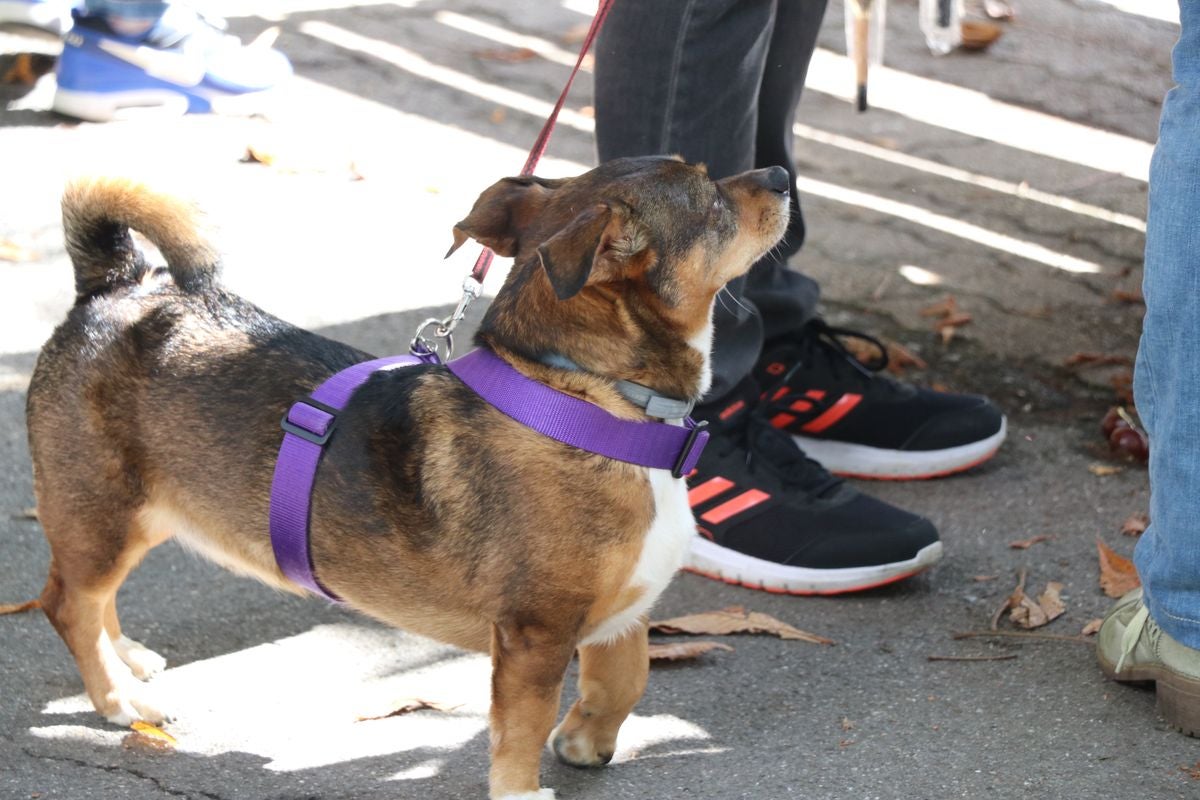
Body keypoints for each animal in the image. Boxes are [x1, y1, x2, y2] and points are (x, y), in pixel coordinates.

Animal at [28, 154, 792, 796]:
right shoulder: (535, 636)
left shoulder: (620, 608)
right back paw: (117, 699)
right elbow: (521, 727)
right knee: (67, 603)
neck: (585, 397)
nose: (783, 175)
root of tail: (115, 285)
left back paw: (126, 657)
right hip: (103, 510)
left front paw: (585, 739)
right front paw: (523, 787)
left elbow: (626, 676)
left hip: (125, 515)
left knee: (92, 597)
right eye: (710, 197)